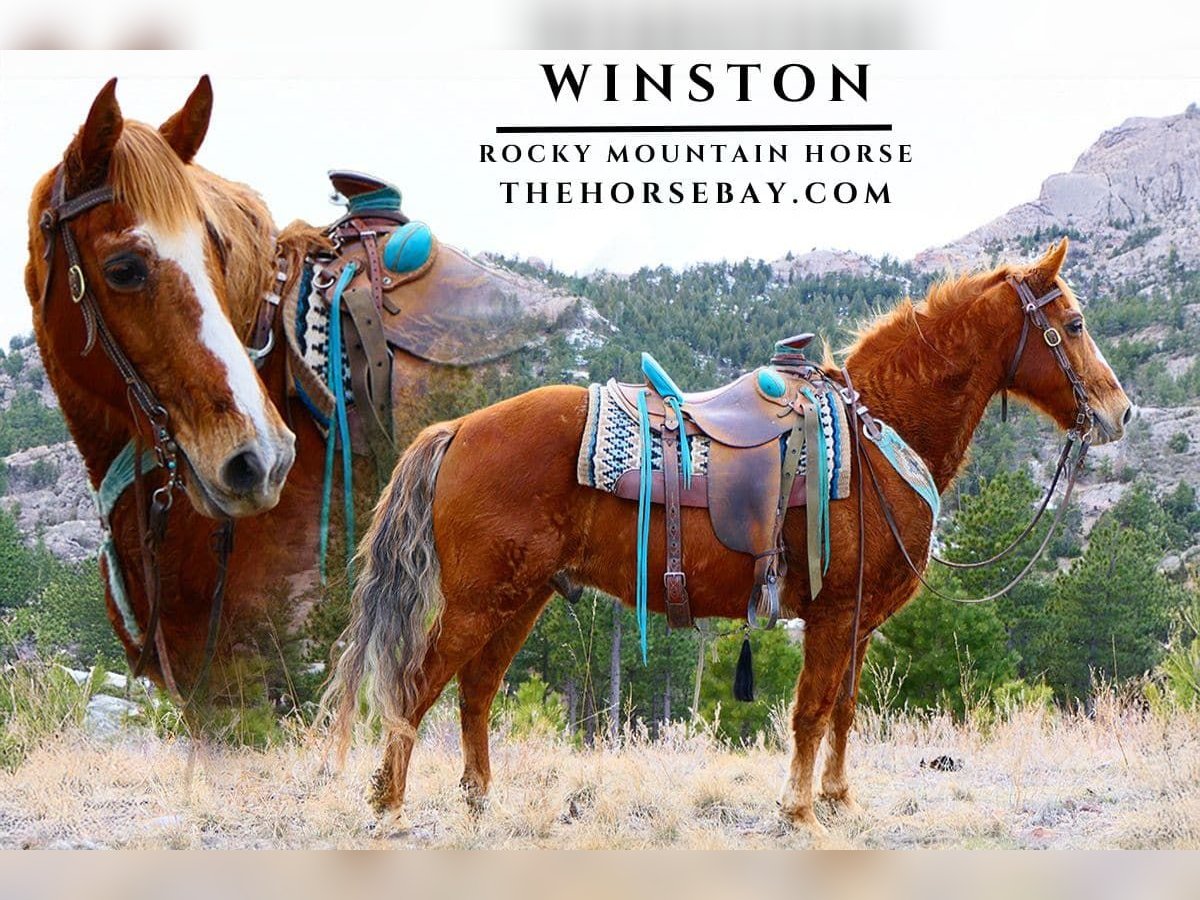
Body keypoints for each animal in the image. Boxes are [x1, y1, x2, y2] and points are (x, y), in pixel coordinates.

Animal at [325, 239, 1132, 832]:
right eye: (1075, 324)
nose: (1120, 411)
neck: (877, 437)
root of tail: (459, 427)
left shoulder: (858, 620)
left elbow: (844, 710)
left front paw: (839, 800)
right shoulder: (831, 615)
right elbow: (810, 712)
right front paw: (800, 810)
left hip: (521, 599)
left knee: (476, 690)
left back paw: (478, 800)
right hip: (478, 602)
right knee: (418, 686)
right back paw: (389, 805)